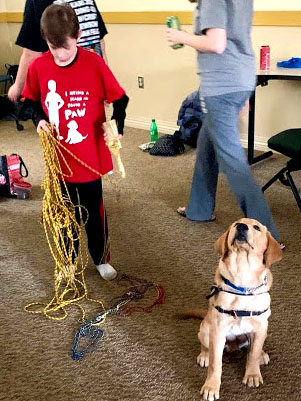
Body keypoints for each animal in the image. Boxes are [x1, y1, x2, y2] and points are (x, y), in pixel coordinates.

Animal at [192, 217, 282, 398]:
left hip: (260, 331)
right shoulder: (218, 331)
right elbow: (215, 364)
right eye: (235, 224)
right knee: (205, 345)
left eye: (256, 227)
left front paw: (253, 374)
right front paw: (211, 387)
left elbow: (253, 354)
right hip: (205, 329)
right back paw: (204, 355)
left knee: (254, 348)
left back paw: (262, 354)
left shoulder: (260, 326)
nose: (241, 226)